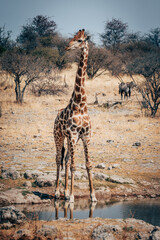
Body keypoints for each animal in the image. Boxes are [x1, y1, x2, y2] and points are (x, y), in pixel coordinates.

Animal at [53, 29, 97, 202]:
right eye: (72, 38)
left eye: (80, 40)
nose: (67, 47)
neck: (81, 105)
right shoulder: (72, 134)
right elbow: (73, 165)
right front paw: (72, 196)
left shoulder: (85, 135)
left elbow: (88, 164)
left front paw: (93, 195)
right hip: (59, 136)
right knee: (59, 159)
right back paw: (58, 192)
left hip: (73, 140)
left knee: (65, 160)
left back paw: (64, 192)